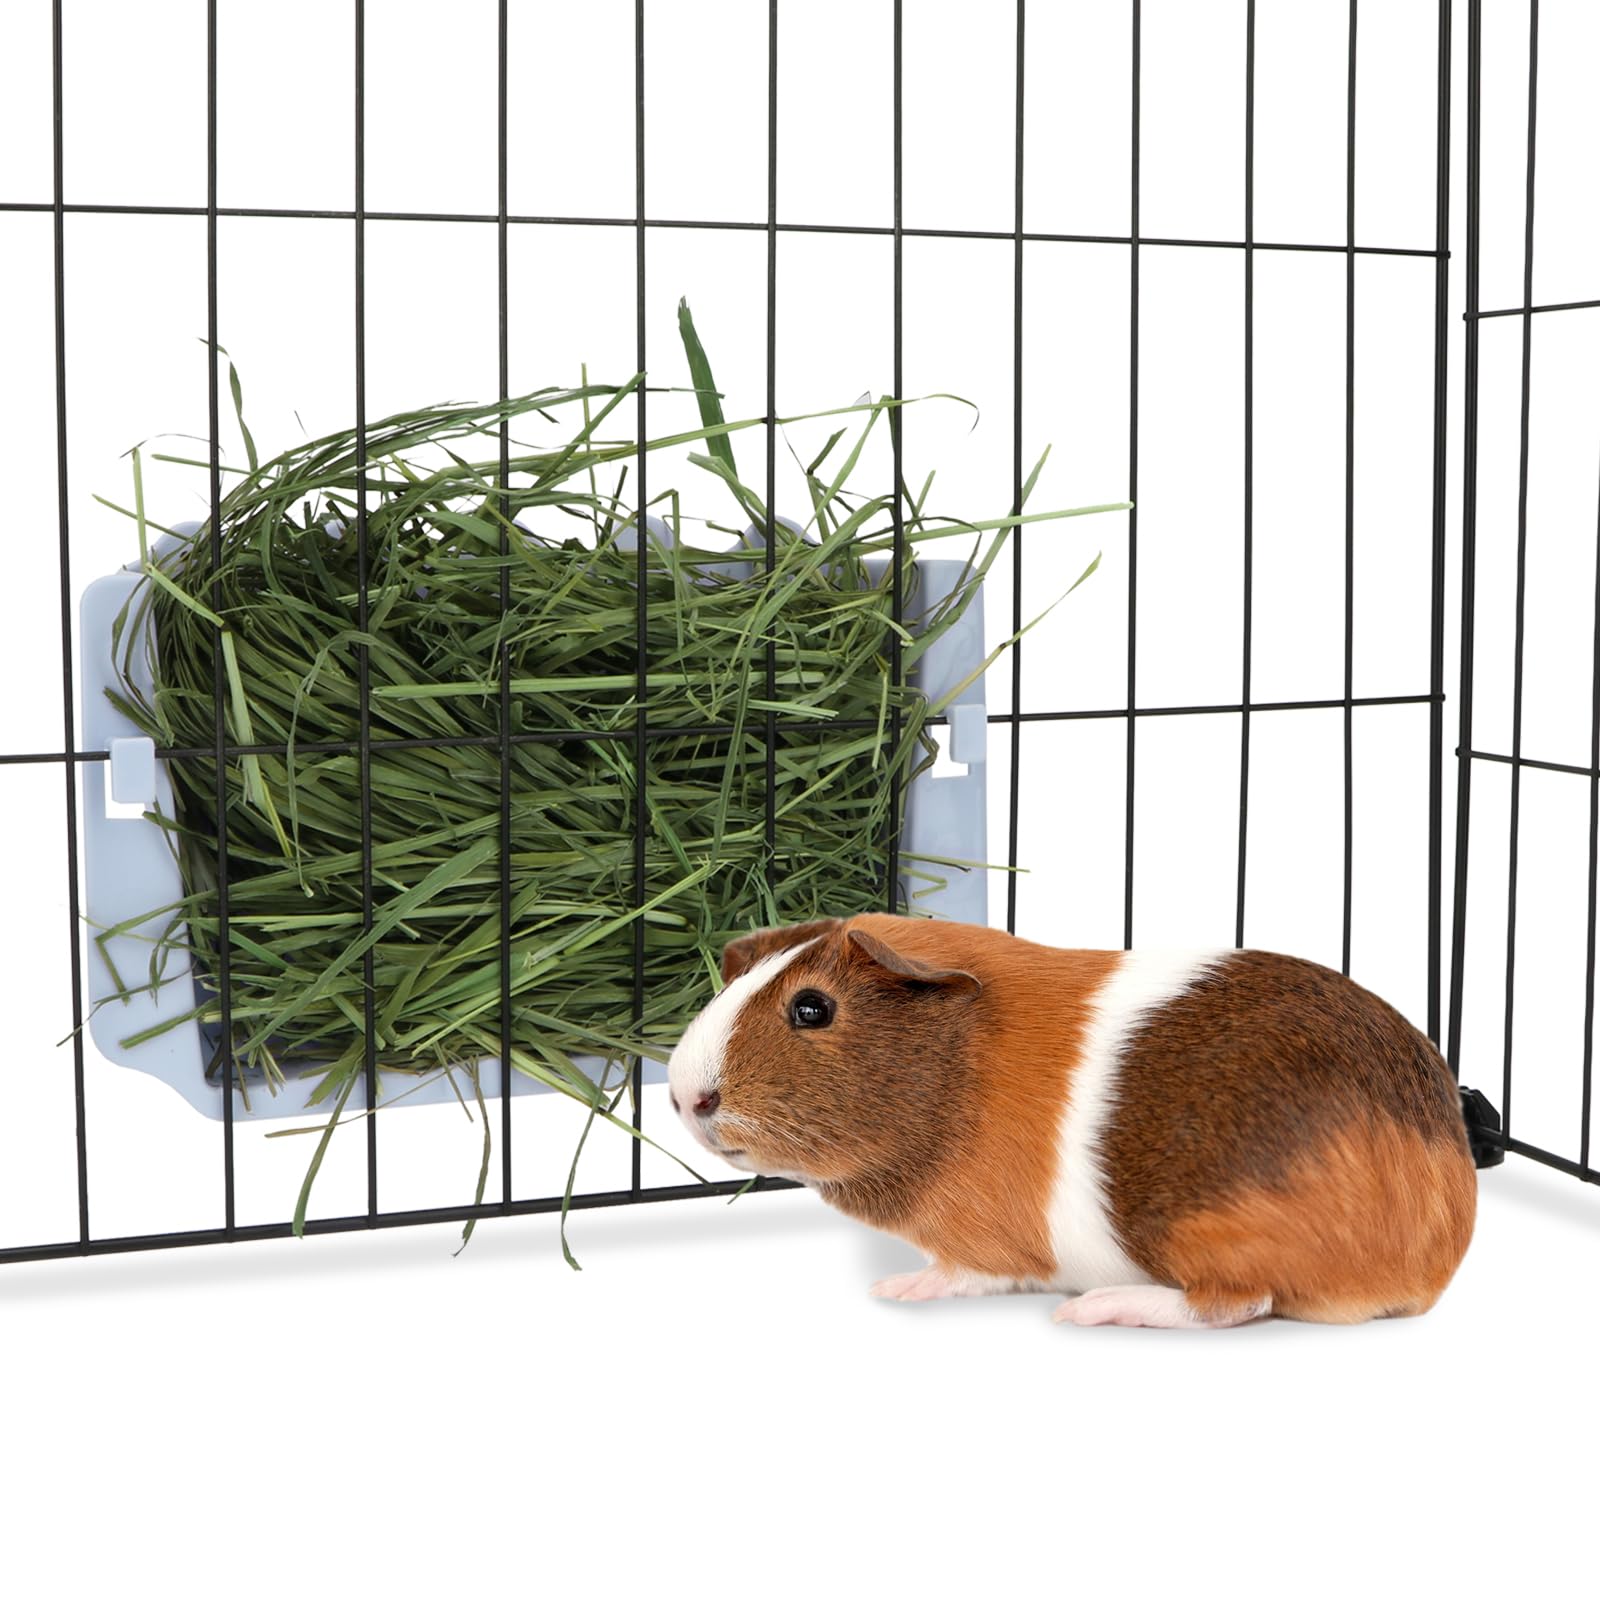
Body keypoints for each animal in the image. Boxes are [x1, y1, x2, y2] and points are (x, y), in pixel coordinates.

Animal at [665, 914, 1477, 1329]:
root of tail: (1436, 1252)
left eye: (812, 1008)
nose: (684, 1097)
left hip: (1199, 1230)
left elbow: (964, 1274)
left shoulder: (989, 1248)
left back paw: (1094, 1310)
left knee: (1233, 1303)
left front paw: (896, 1290)